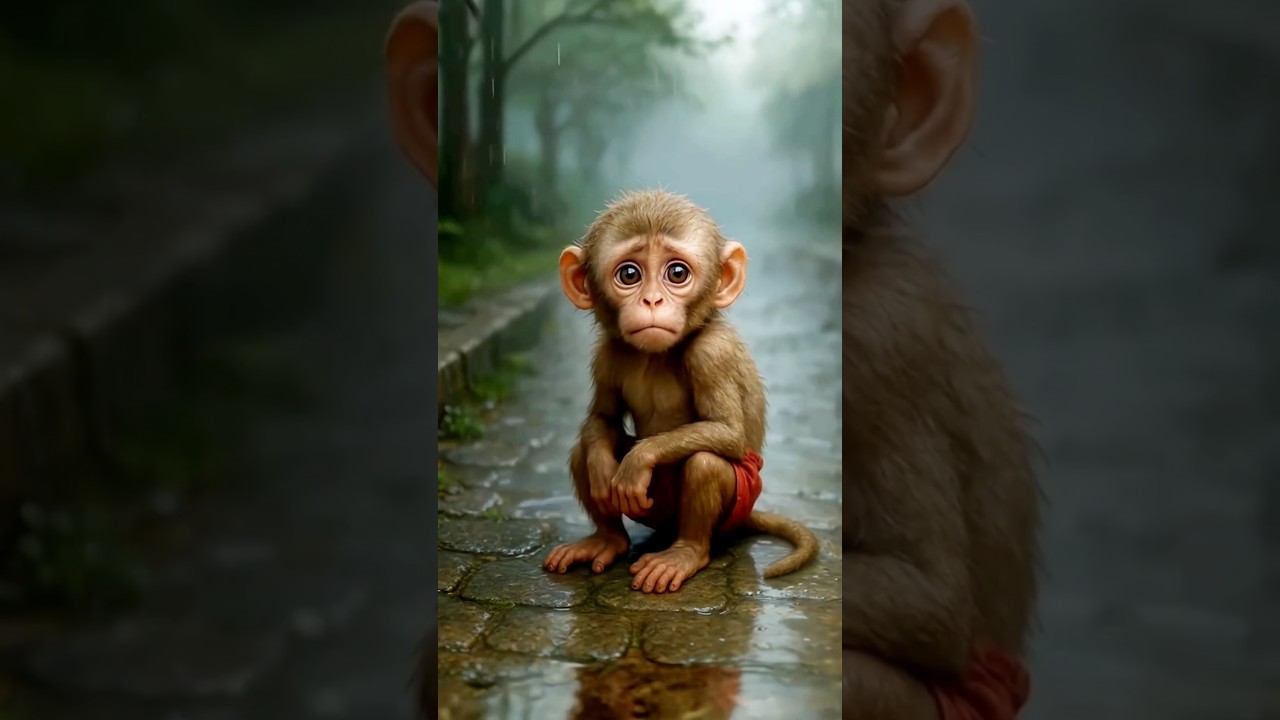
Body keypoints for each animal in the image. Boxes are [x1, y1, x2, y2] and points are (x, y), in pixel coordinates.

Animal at [541, 189, 819, 594]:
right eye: (629, 274)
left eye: (677, 273)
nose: (652, 301)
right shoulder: (606, 354)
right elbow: (602, 419)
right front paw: (603, 468)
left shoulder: (712, 352)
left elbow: (727, 433)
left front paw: (638, 461)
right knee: (585, 452)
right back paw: (607, 539)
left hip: (737, 504)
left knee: (705, 462)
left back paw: (685, 553)